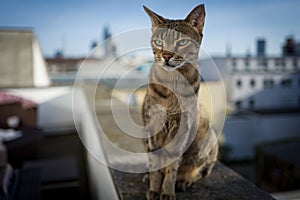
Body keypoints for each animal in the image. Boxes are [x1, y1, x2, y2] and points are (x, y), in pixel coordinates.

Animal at [142, 4, 219, 200]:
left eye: (182, 43)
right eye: (159, 42)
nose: (166, 55)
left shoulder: (182, 129)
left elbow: (172, 167)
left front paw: (167, 191)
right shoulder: (153, 127)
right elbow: (156, 165)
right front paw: (154, 188)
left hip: (209, 140)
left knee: (199, 170)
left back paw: (184, 180)